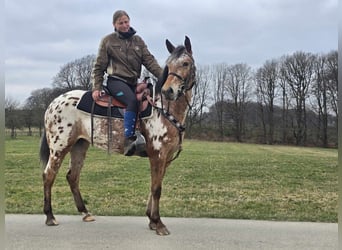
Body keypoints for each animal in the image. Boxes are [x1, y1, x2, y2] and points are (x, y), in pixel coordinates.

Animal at [39, 36, 195, 235]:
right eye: (168, 65)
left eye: (185, 63)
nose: (169, 91)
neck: (164, 108)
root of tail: (53, 103)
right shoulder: (158, 156)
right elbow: (156, 189)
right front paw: (158, 223)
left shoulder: (165, 158)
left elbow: (154, 187)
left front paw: (152, 221)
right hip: (60, 147)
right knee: (49, 175)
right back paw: (50, 216)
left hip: (79, 146)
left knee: (72, 176)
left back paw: (85, 213)